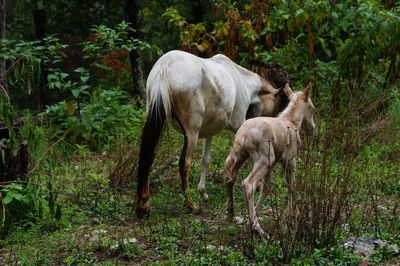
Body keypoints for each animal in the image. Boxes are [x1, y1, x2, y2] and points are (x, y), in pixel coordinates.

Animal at [136, 49, 286, 216]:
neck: (242, 80)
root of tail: (164, 68)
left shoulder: (209, 132)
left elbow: (205, 159)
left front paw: (203, 192)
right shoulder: (239, 126)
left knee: (148, 157)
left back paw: (144, 204)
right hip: (192, 132)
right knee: (184, 164)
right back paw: (191, 204)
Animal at [225, 83, 316, 235]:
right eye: (313, 108)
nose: (313, 129)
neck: (293, 122)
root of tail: (243, 136)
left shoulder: (273, 164)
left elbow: (266, 188)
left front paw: (254, 213)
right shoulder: (289, 160)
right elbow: (291, 186)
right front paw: (295, 217)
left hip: (243, 156)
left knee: (230, 177)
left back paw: (231, 215)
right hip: (265, 159)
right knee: (248, 183)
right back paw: (257, 228)